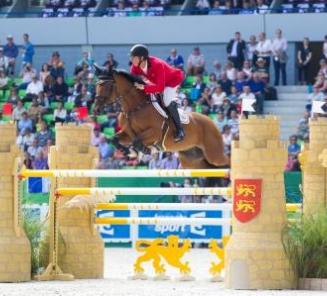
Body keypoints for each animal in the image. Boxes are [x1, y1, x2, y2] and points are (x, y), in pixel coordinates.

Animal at [95, 66, 228, 169]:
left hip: (214, 155)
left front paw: (141, 151)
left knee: (225, 161)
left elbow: (137, 141)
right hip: (192, 159)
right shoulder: (128, 133)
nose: (96, 108)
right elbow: (114, 139)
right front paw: (128, 152)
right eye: (97, 85)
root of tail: (212, 122)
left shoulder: (155, 132)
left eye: (107, 85)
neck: (135, 107)